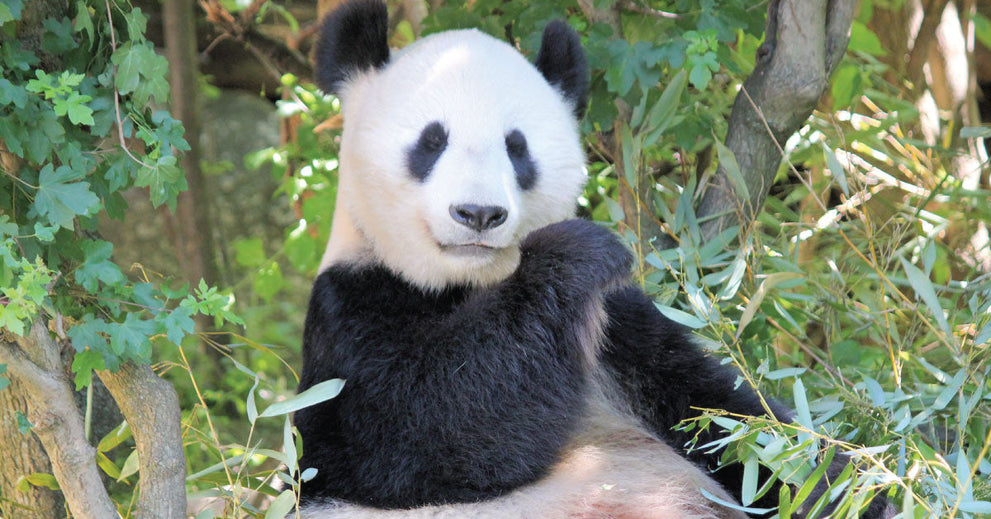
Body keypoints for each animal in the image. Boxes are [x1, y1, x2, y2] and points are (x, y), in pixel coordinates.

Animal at [294, 1, 894, 518]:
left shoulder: (624, 329)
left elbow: (729, 423)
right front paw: (576, 250)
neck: (464, 283)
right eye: (431, 141)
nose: (478, 213)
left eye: (517, 147)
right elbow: (415, 431)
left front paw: (858, 489)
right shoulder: (349, 311)